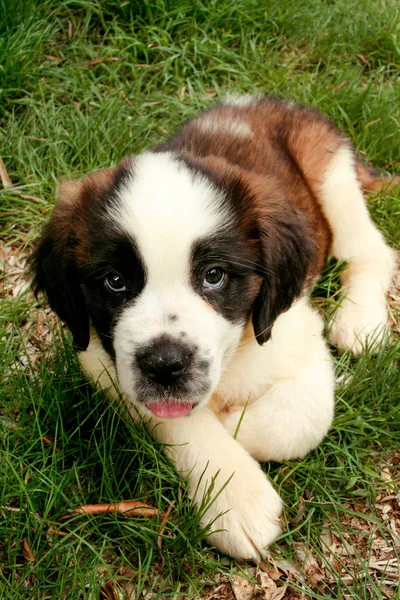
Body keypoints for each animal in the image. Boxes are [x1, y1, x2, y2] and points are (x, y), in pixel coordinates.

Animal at [32, 96, 396, 560]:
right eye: (115, 281)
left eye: (214, 276)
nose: (164, 365)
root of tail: (265, 101)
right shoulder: (102, 358)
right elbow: (180, 419)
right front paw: (237, 497)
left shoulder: (295, 332)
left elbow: (304, 416)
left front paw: (235, 427)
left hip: (331, 176)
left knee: (370, 250)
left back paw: (360, 319)